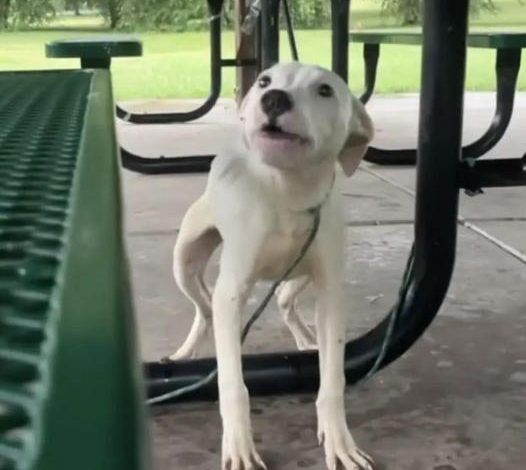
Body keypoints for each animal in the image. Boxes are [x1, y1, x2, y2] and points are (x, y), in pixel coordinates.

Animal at [173, 63, 376, 470]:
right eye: (265, 80)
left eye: (325, 90)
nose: (274, 99)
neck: (287, 193)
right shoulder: (231, 292)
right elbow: (233, 384)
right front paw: (238, 446)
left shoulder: (331, 291)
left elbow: (333, 380)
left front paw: (338, 440)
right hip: (184, 261)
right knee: (205, 309)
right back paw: (186, 353)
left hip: (299, 273)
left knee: (283, 300)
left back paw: (306, 339)